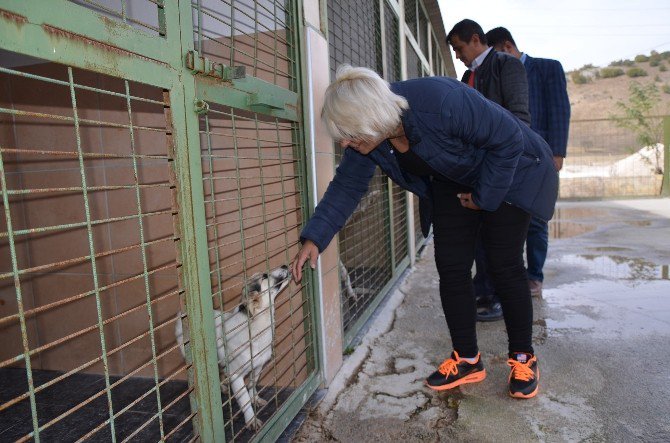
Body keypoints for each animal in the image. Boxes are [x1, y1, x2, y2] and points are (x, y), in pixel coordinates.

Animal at [175, 266, 290, 432]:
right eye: (264, 276)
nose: (285, 266)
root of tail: (181, 315)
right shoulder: (236, 376)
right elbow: (245, 401)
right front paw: (251, 420)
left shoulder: (258, 365)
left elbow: (252, 384)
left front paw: (255, 398)